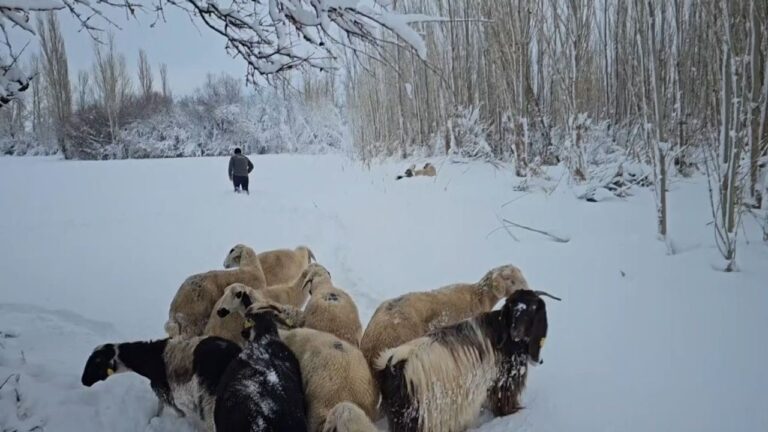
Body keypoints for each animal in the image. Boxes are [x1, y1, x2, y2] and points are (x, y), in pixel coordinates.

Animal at [81, 334, 240, 428]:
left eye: (95, 363)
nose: (83, 382)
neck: (149, 356)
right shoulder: (161, 384)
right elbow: (162, 405)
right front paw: (156, 419)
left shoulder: (159, 383)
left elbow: (170, 405)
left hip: (210, 398)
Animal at [374, 288, 560, 432]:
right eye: (512, 308)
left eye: (533, 308)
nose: (516, 332)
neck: (504, 335)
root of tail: (393, 365)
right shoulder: (504, 380)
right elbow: (504, 401)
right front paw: (513, 412)